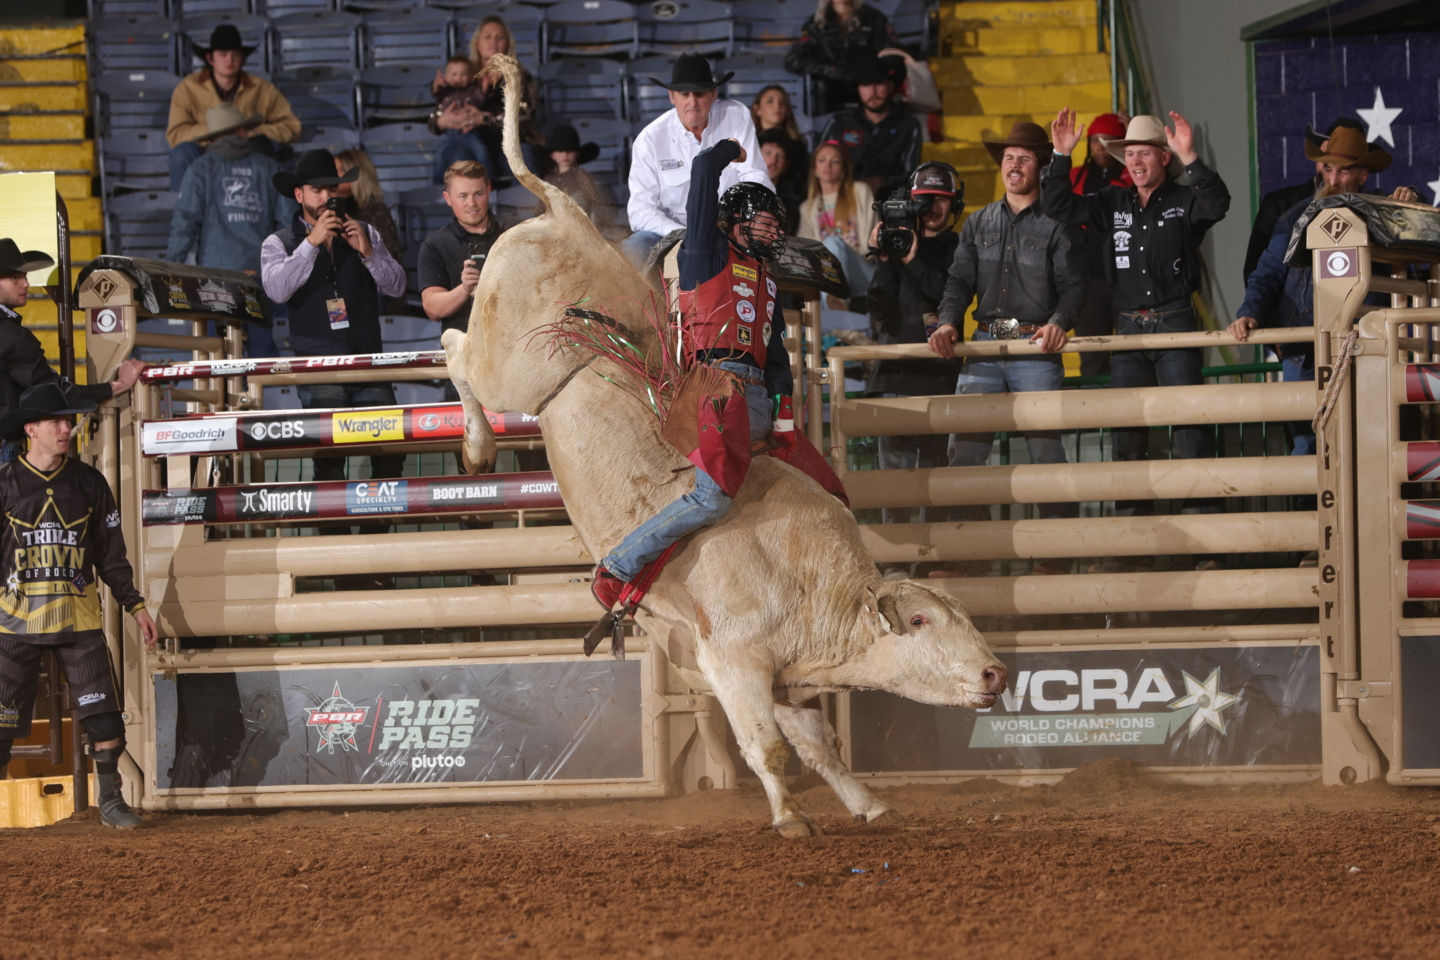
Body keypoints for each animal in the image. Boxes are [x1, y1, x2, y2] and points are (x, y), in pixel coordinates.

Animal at [443, 54, 1008, 834]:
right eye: (922, 620)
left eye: (965, 617)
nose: (995, 672)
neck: (809, 581)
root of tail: (562, 215)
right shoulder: (733, 662)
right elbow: (767, 748)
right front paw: (790, 818)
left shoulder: (787, 677)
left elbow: (820, 744)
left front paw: (867, 804)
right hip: (511, 367)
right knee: (454, 350)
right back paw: (475, 448)